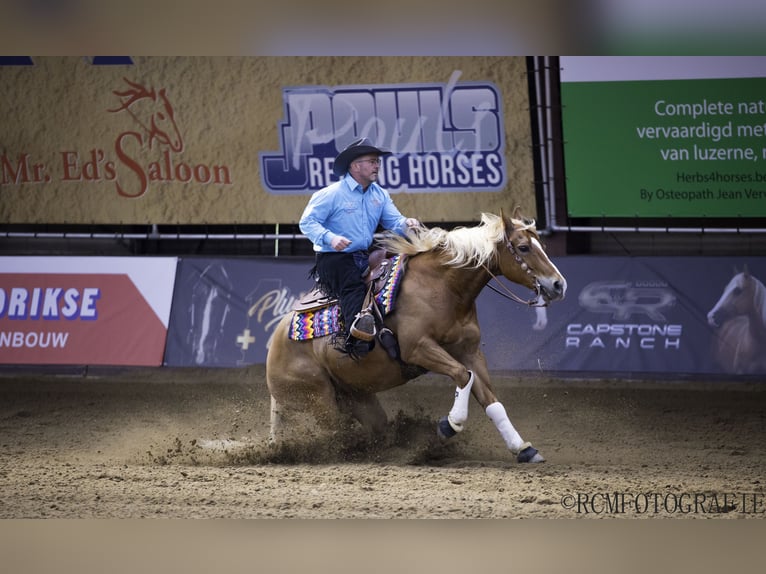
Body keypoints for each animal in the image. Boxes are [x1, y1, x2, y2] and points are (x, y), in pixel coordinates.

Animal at [268, 209, 568, 466]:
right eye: (523, 247)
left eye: (540, 244)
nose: (558, 285)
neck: (443, 287)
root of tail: (275, 344)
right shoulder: (419, 349)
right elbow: (463, 376)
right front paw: (449, 425)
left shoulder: (470, 352)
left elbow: (490, 399)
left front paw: (523, 449)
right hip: (319, 400)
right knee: (336, 435)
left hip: (358, 397)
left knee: (374, 428)